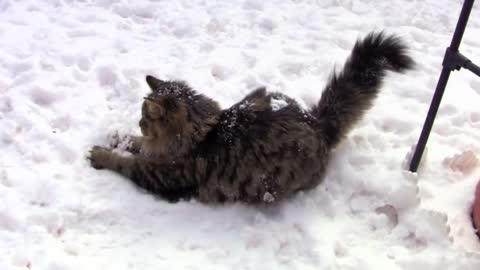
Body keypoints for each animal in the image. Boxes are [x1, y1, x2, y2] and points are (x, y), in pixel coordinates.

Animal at [89, 31, 412, 204]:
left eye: (144, 117)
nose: (139, 123)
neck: (201, 132)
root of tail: (317, 122)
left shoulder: (163, 176)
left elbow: (128, 162)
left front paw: (102, 153)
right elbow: (135, 145)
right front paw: (118, 137)